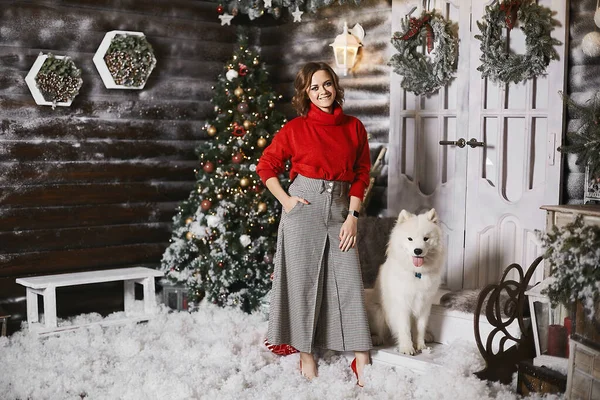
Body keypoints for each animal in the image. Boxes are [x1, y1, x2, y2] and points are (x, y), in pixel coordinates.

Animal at [366, 208, 446, 354]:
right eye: (410, 239)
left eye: (426, 238)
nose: (418, 250)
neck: (417, 273)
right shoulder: (402, 305)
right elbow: (404, 329)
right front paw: (407, 348)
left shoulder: (424, 306)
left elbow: (420, 329)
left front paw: (421, 346)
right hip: (378, 311)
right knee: (379, 331)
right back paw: (376, 339)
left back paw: (428, 337)